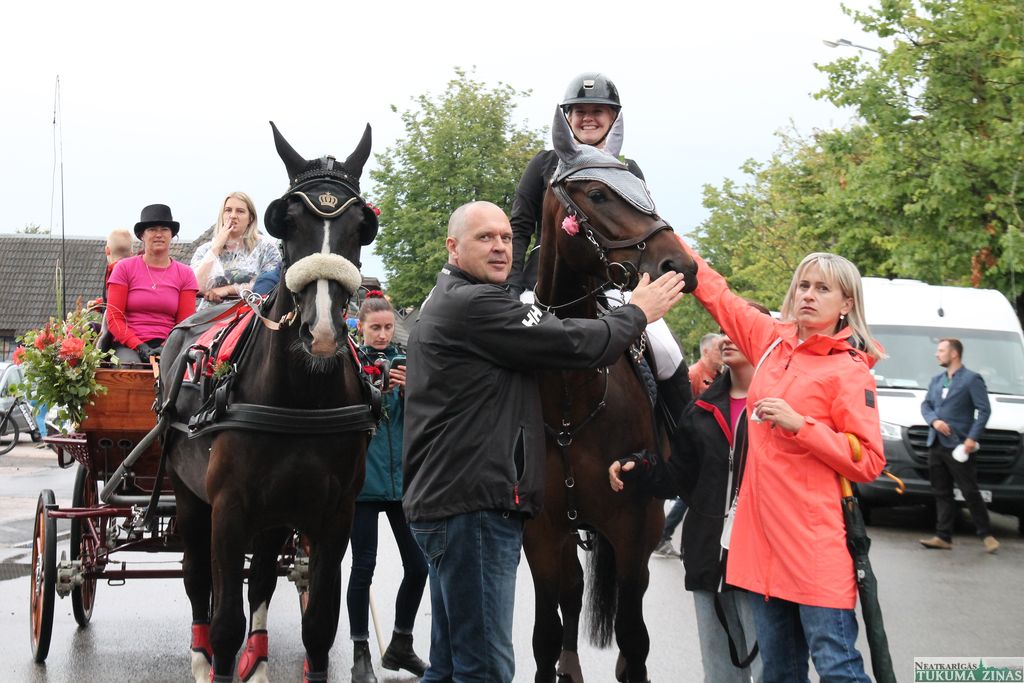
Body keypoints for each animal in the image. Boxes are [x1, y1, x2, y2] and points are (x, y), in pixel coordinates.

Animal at [159, 122, 380, 683]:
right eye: (289, 221)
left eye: (360, 225)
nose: (321, 331)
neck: (300, 399)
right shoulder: (228, 509)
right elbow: (224, 622)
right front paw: (216, 656)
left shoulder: (333, 515)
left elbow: (319, 625)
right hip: (191, 499)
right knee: (197, 579)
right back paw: (200, 656)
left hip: (276, 514)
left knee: (259, 578)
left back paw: (256, 659)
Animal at [522, 108, 699, 683]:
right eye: (598, 194)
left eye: (644, 189)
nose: (681, 268)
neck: (571, 393)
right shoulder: (542, 534)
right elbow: (545, 634)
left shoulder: (635, 530)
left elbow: (633, 643)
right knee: (572, 595)